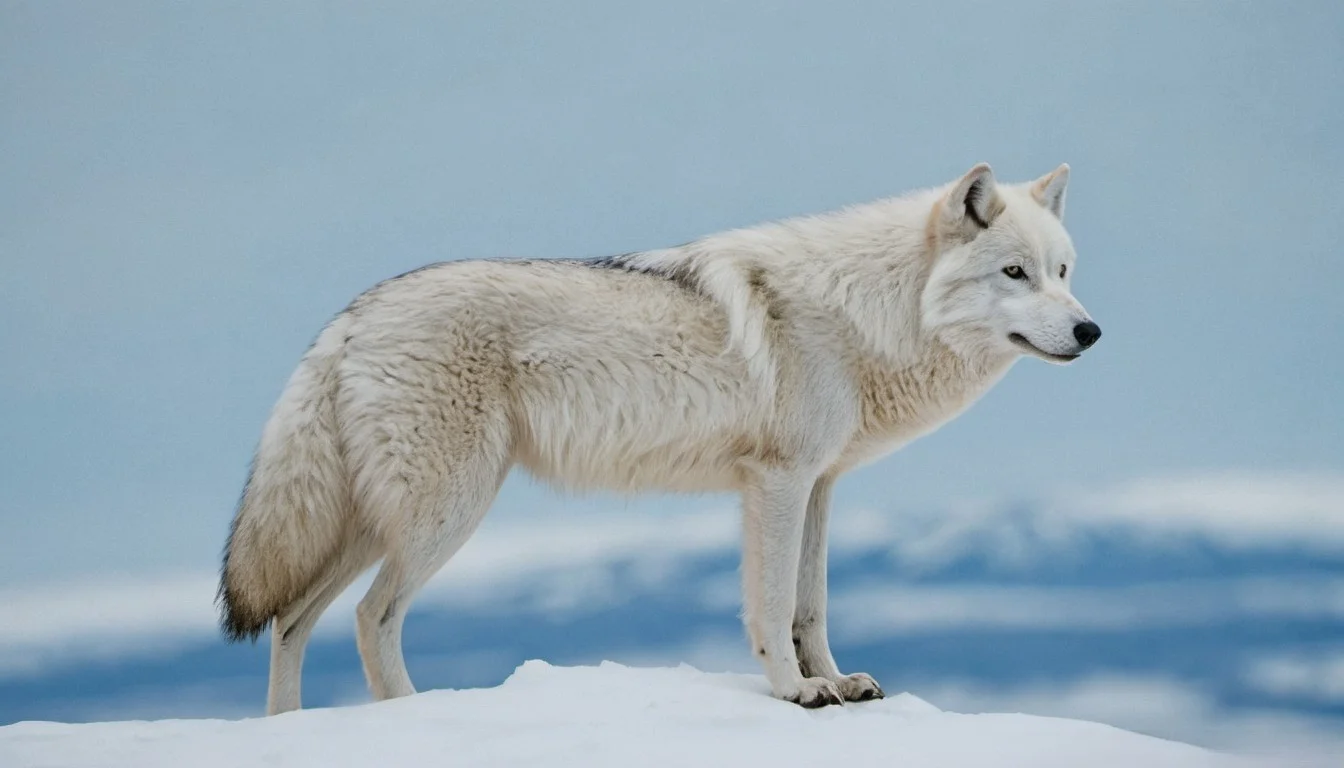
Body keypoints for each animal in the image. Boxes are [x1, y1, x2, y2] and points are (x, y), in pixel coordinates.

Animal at [218, 163, 1100, 715]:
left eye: (1062, 272)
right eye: (1014, 274)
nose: (1091, 331)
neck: (869, 312)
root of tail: (349, 318)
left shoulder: (820, 485)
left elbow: (811, 606)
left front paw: (836, 683)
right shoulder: (777, 483)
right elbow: (772, 605)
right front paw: (795, 693)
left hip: (373, 525)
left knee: (291, 621)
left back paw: (288, 730)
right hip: (442, 515)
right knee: (371, 619)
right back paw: (408, 716)